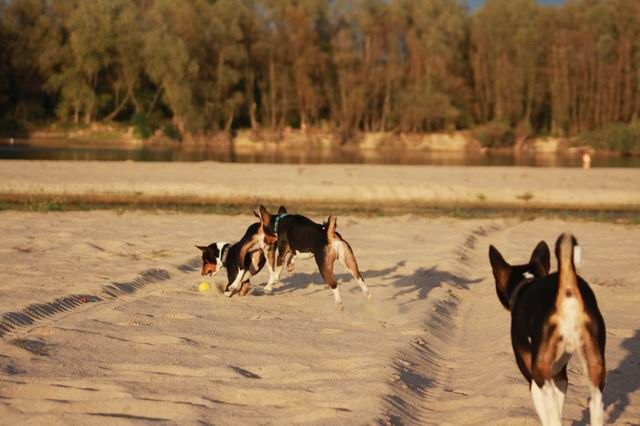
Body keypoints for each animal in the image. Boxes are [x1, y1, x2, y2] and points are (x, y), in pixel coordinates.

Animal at [489, 233, 606, 426]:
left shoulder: (535, 380)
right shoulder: (560, 377)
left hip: (540, 374)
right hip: (594, 368)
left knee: (552, 412)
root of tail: (567, 292)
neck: (527, 282)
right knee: (596, 403)